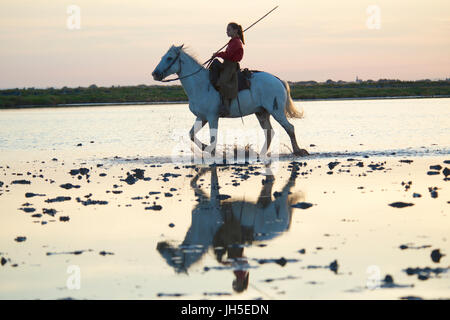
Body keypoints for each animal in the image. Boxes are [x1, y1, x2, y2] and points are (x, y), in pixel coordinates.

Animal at [151, 45, 310, 158]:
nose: (155, 74)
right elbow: (191, 134)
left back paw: (298, 151)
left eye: (169, 58)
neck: (200, 84)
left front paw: (212, 152)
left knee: (289, 128)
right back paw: (261, 153)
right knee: (269, 132)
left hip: (276, 111)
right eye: (163, 57)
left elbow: (213, 138)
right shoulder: (202, 117)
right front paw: (206, 149)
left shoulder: (212, 117)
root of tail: (278, 80)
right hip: (261, 113)